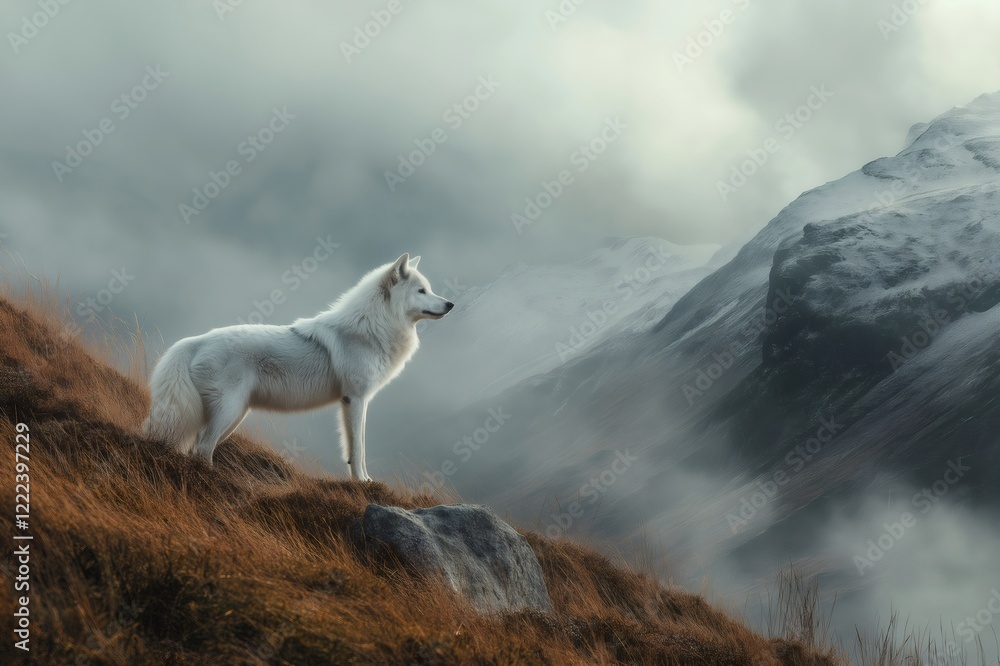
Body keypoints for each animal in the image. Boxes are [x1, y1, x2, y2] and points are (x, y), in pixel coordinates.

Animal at [142, 253, 453, 480]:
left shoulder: (354, 401)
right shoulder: (355, 399)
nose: (450, 303)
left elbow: (355, 448)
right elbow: (358, 449)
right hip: (229, 411)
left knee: (198, 445)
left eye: (429, 290)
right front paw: (363, 482)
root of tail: (197, 340)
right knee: (202, 447)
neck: (373, 328)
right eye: (422, 291)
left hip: (234, 416)